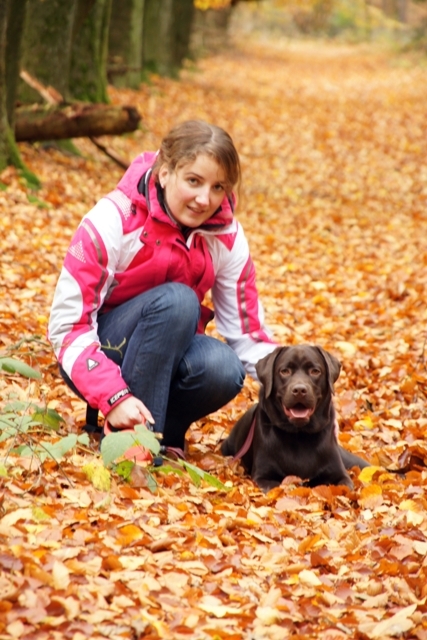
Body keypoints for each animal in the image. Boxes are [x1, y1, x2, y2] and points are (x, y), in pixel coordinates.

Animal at [221, 345, 370, 492]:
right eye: (284, 371)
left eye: (315, 371)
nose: (299, 390)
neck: (299, 435)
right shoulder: (264, 476)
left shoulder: (340, 475)